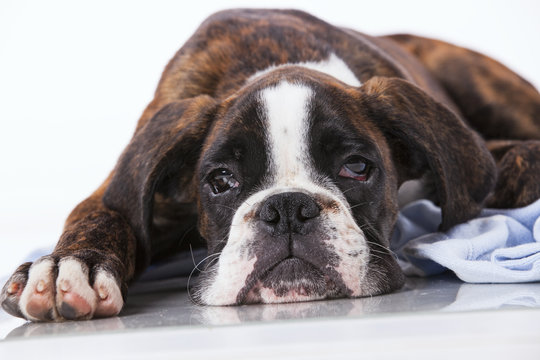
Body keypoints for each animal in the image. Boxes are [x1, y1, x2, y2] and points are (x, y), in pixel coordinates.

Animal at [3, 9, 540, 322]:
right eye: (221, 180)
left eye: (357, 168)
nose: (286, 209)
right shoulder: (127, 196)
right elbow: (103, 216)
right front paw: (70, 267)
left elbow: (514, 164)